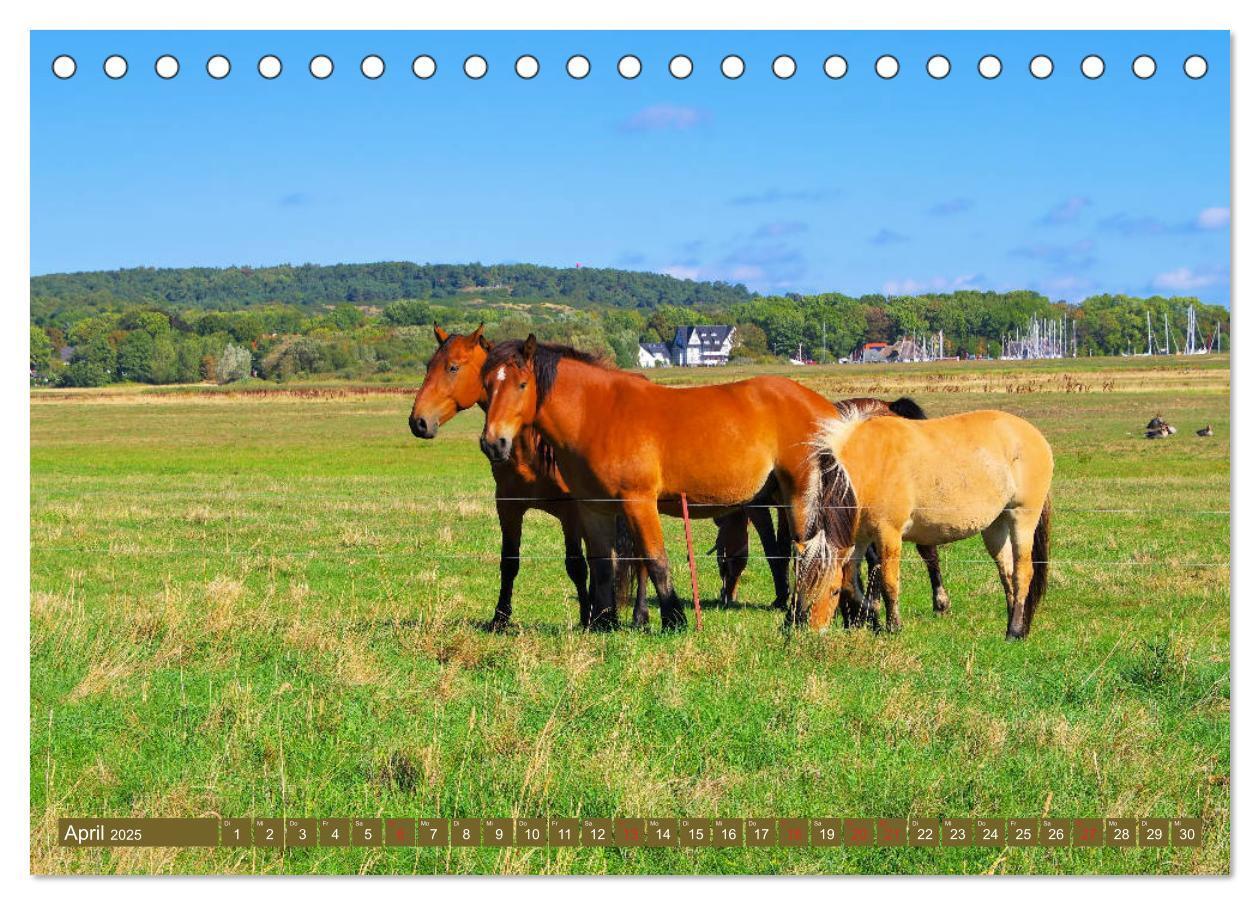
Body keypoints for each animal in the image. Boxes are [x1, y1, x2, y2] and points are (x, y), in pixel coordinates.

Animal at [476, 332, 851, 630]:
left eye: (521, 384)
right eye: (487, 385)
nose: (493, 443)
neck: (598, 414)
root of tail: (827, 409)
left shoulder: (638, 502)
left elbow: (655, 560)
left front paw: (674, 619)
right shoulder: (593, 508)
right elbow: (602, 565)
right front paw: (604, 622)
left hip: (800, 495)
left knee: (811, 555)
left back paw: (797, 618)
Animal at [801, 408, 1058, 642]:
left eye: (832, 591)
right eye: (803, 588)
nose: (815, 633)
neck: (868, 464)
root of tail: (1033, 434)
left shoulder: (889, 533)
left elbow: (888, 582)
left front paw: (893, 627)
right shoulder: (860, 538)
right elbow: (851, 583)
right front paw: (870, 616)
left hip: (1022, 518)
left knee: (1023, 573)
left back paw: (1014, 632)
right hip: (996, 526)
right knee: (1007, 573)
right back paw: (1014, 626)